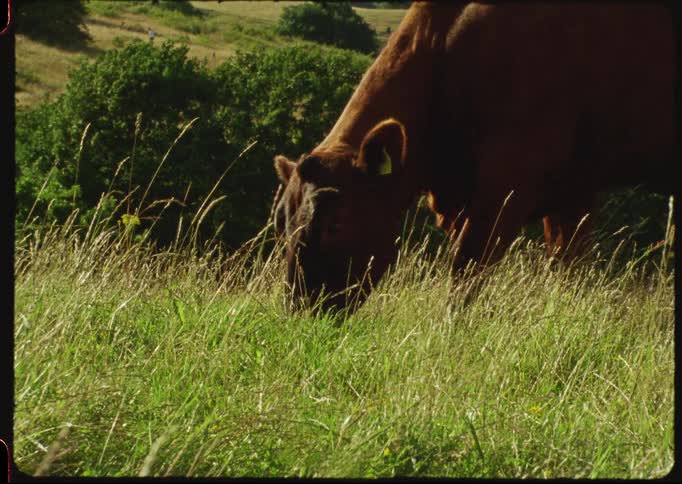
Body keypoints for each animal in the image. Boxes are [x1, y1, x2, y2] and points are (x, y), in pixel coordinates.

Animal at [272, 2, 676, 313]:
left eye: (336, 223)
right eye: (281, 223)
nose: (301, 308)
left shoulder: (510, 182)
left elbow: (466, 269)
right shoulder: (573, 186)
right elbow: (568, 265)